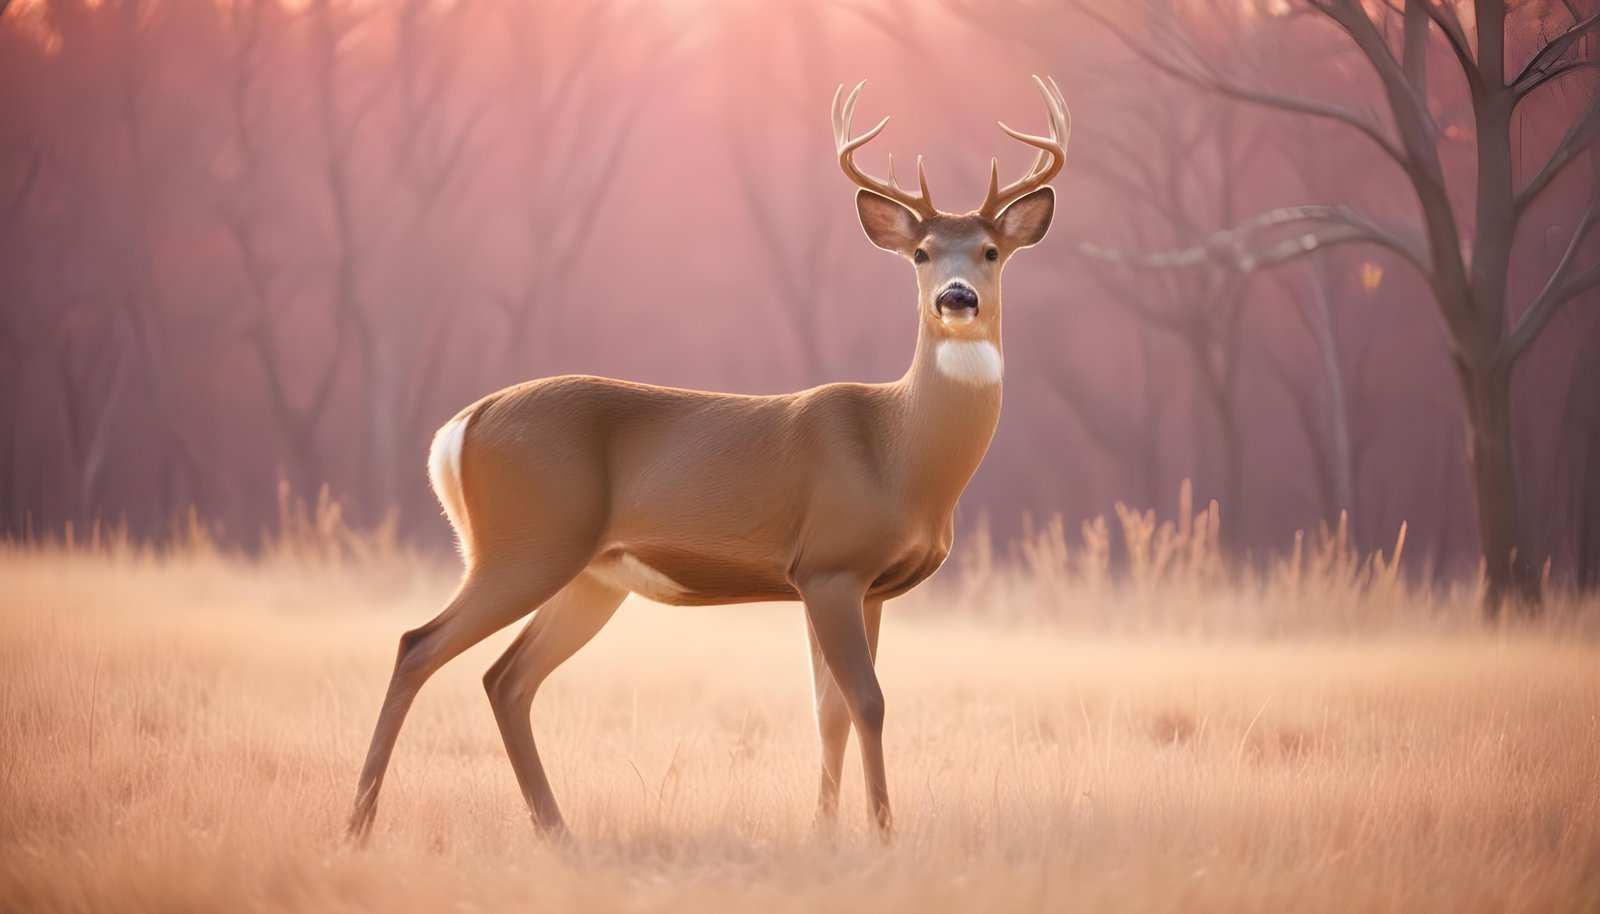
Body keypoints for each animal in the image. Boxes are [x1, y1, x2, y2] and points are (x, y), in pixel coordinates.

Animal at [347, 76, 1069, 842]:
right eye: (922, 254)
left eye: (990, 251)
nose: (957, 298)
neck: (901, 454)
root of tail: (460, 426)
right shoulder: (831, 565)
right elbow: (868, 702)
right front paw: (881, 831)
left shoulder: (861, 585)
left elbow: (831, 711)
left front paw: (825, 830)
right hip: (526, 544)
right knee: (419, 644)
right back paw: (360, 823)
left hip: (590, 574)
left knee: (506, 679)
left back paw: (556, 830)